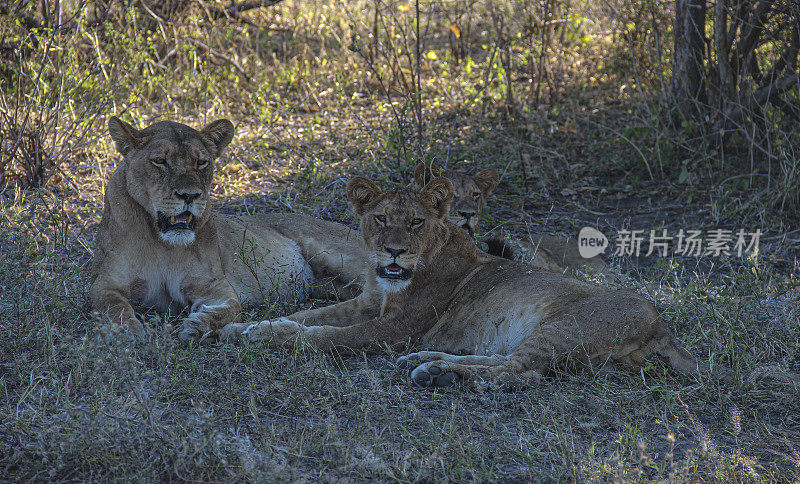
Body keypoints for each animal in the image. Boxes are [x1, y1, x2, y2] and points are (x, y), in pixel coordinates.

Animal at [220, 176, 708, 388]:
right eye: (381, 219)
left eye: (416, 222)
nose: (394, 251)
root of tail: (662, 324)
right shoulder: (368, 303)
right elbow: (309, 314)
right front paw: (244, 327)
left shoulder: (395, 327)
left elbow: (323, 336)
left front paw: (272, 337)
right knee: (506, 362)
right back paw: (428, 362)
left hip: (563, 327)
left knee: (520, 373)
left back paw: (439, 374)